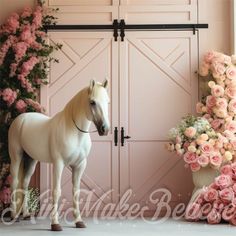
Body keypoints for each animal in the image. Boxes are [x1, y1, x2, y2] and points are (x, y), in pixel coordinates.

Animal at [8, 79, 109, 230]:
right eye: (92, 102)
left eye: (107, 101)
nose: (105, 129)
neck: (74, 132)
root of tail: (21, 119)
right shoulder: (59, 164)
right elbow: (56, 191)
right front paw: (55, 224)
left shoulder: (80, 165)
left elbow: (76, 192)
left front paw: (79, 221)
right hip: (16, 156)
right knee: (14, 182)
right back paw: (14, 215)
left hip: (31, 159)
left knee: (25, 183)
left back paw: (26, 214)